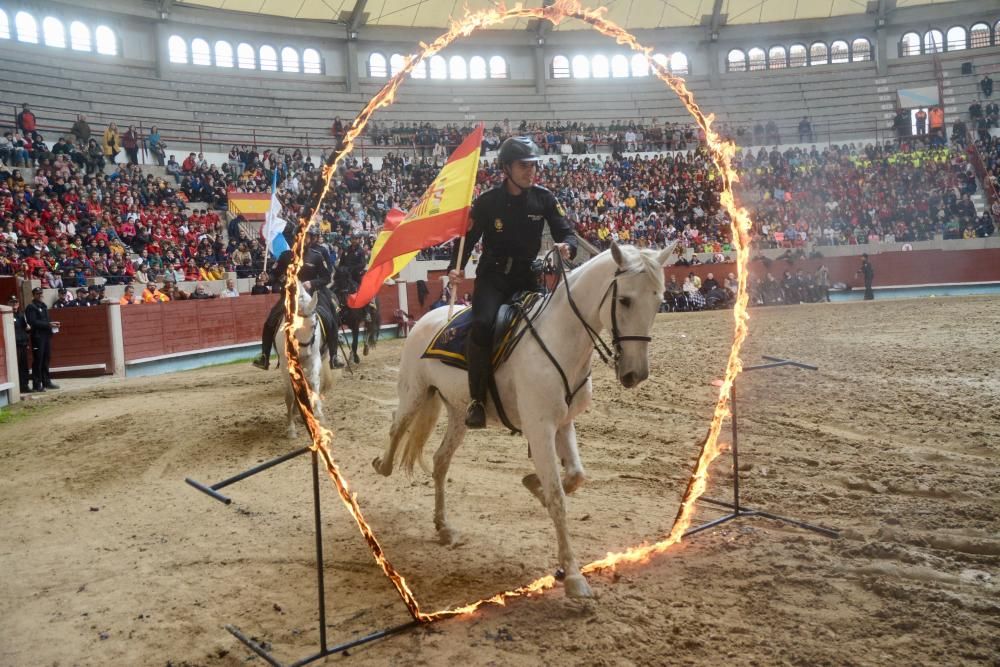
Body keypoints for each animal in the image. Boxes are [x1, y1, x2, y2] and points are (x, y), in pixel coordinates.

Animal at [278, 282, 336, 438]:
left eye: (314, 325)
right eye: (293, 325)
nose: (303, 354)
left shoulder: (315, 358)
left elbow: (314, 381)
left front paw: (318, 413)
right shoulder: (286, 366)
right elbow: (289, 394)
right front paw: (291, 429)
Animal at [374, 243, 672, 596]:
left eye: (658, 300)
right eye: (624, 299)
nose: (635, 374)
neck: (561, 338)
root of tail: (430, 318)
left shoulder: (563, 424)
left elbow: (575, 476)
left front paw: (533, 484)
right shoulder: (539, 428)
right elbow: (558, 496)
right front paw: (574, 576)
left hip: (459, 413)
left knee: (440, 460)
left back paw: (444, 527)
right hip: (415, 393)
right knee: (397, 425)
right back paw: (382, 465)